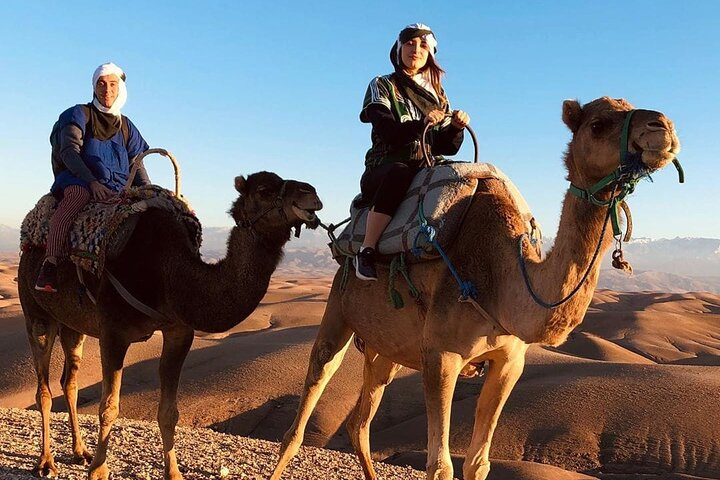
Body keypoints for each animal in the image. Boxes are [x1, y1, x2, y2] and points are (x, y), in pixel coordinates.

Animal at [17, 171, 323, 480]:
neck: (169, 274)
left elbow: (168, 412)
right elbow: (108, 407)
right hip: (36, 312)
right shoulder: (113, 332)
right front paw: (99, 471)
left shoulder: (179, 332)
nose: (311, 193)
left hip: (73, 325)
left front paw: (173, 472)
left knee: (70, 382)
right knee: (43, 388)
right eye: (263, 190)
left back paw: (80, 452)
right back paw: (46, 462)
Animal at [271, 97, 681, 480]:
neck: (502, 280)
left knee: (360, 423)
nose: (662, 127)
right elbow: (440, 466)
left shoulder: (510, 361)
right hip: (338, 311)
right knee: (304, 409)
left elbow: (478, 463)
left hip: (385, 348)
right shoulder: (441, 356)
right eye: (598, 124)